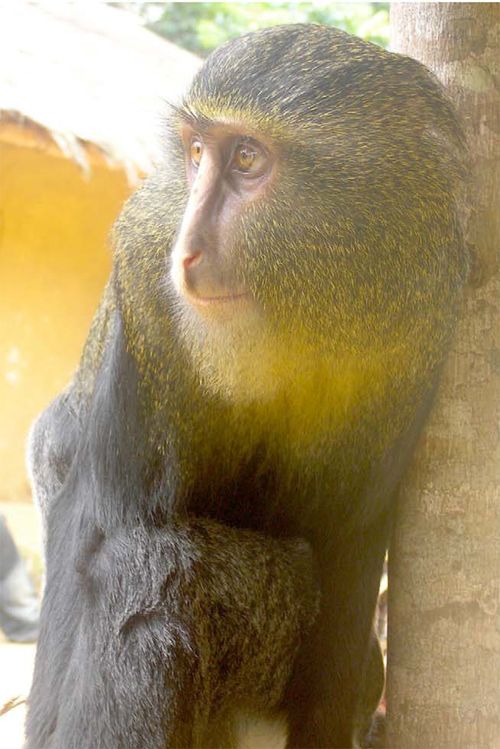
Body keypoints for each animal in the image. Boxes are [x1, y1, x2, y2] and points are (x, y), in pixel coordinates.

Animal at [25, 23, 466, 748]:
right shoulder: (142, 280)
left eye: (249, 160)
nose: (187, 251)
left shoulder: (421, 329)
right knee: (149, 563)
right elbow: (94, 526)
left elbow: (351, 548)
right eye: (198, 154)